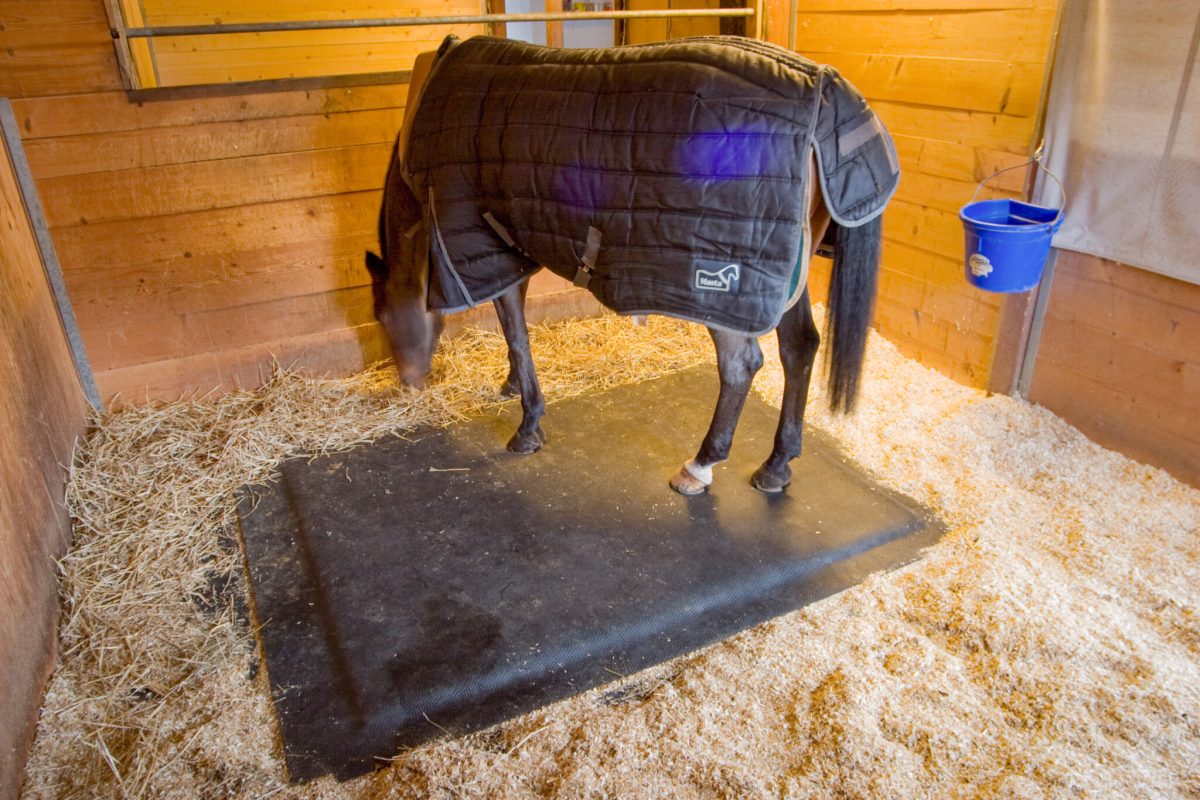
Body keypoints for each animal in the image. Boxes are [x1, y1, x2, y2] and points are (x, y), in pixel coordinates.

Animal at [365, 35, 898, 495]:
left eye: (385, 317)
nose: (408, 383)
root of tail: (824, 87)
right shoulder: (511, 248)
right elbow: (514, 332)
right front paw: (511, 386)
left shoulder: (483, 249)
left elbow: (516, 334)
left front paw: (528, 424)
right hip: (782, 280)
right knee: (800, 347)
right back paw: (776, 465)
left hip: (724, 289)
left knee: (742, 366)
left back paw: (699, 466)